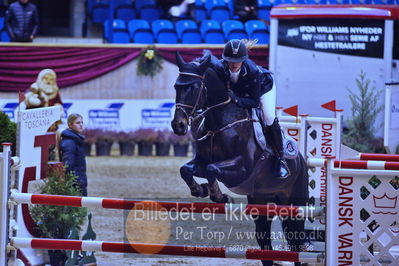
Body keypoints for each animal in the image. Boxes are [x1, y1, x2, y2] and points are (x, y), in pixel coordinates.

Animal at [170, 51, 310, 264]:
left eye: (194, 87)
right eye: (176, 86)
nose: (178, 125)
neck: (218, 123)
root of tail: (302, 160)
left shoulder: (242, 170)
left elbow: (212, 169)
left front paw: (218, 195)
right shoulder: (201, 161)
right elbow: (186, 169)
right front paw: (200, 189)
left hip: (295, 204)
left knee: (296, 244)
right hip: (262, 205)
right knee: (266, 248)